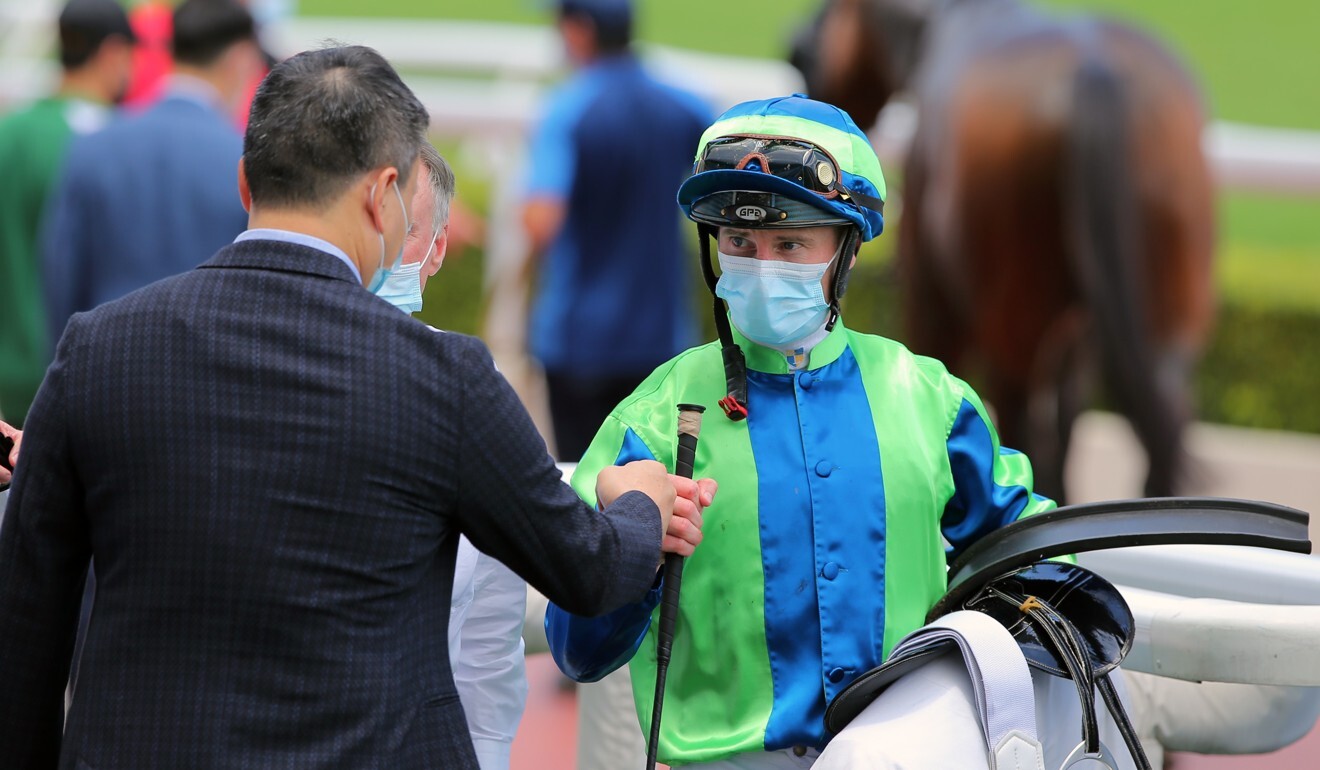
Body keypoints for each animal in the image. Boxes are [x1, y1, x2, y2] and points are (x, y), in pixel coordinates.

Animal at [786, 0, 1209, 499]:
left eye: (801, 53)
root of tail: (1094, 75)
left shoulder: (932, 303)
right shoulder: (1075, 337)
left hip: (1011, 331)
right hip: (1164, 333)